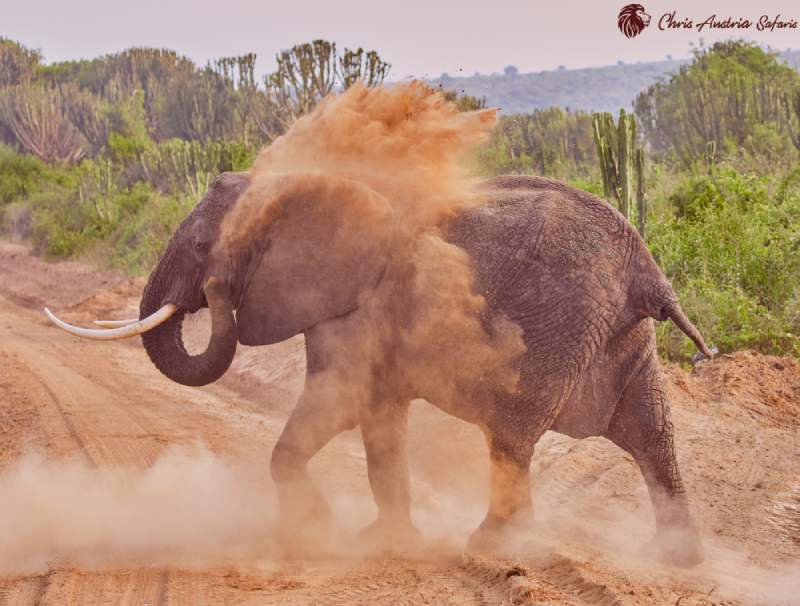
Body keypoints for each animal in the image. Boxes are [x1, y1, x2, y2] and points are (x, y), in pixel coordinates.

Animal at [48, 171, 712, 568]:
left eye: (199, 248)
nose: (213, 292)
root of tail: (648, 271)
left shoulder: (355, 306)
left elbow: (338, 403)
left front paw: (312, 532)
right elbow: (378, 423)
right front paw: (386, 543)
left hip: (558, 329)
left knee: (514, 437)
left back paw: (488, 545)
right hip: (618, 336)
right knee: (652, 434)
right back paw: (673, 558)